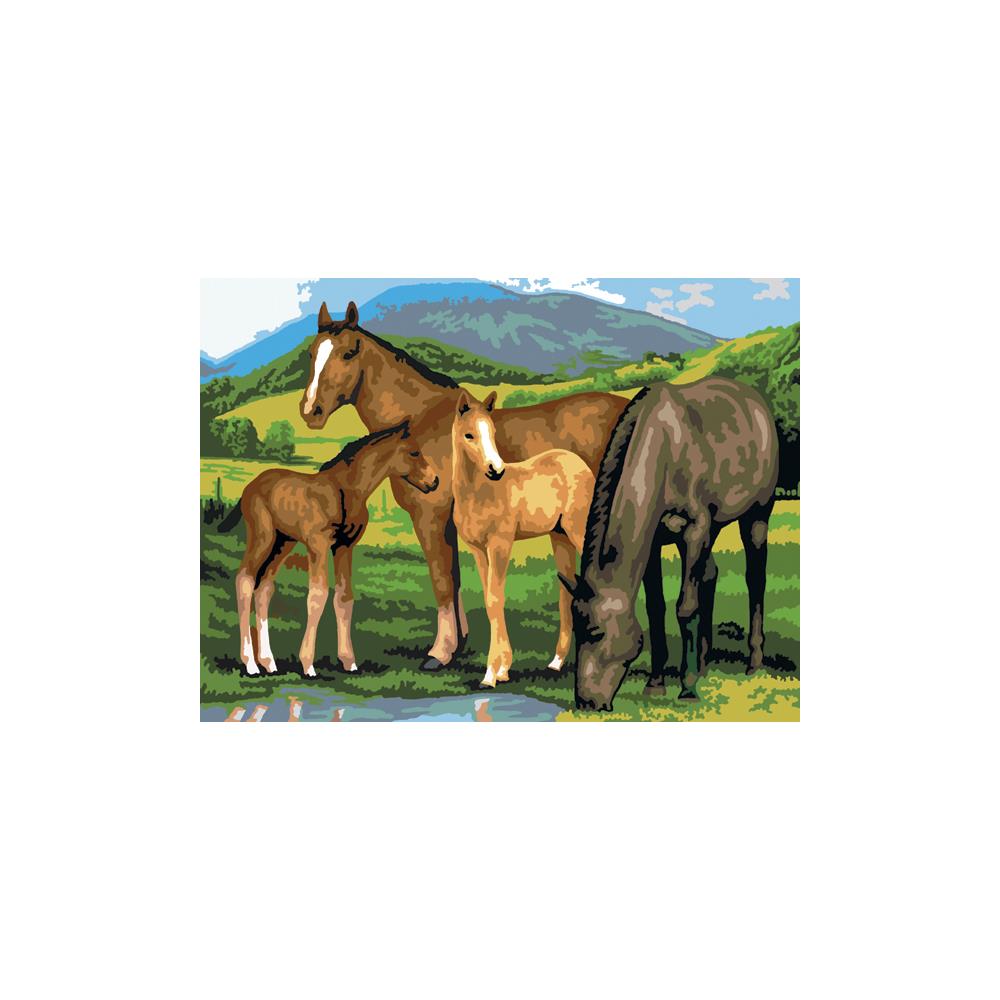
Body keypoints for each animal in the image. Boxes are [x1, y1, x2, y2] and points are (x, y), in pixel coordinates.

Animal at [217, 422, 439, 677]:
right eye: (414, 452)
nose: (435, 481)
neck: (345, 490)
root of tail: (249, 487)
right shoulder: (319, 545)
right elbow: (318, 595)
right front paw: (308, 665)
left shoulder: (345, 547)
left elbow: (344, 597)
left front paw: (349, 662)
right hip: (263, 537)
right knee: (244, 578)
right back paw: (251, 664)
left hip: (283, 542)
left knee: (264, 588)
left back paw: (269, 662)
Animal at [451, 390, 596, 688]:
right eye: (469, 435)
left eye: (492, 431)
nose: (496, 469)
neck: (478, 493)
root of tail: (577, 462)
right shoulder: (477, 549)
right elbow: (489, 600)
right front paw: (503, 669)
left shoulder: (500, 544)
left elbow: (496, 599)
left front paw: (490, 675)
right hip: (560, 536)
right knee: (566, 587)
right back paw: (556, 662)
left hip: (578, 530)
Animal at [564, 379, 779, 710]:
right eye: (575, 629)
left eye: (596, 632)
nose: (586, 703)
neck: (663, 452)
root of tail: (755, 401)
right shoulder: (653, 543)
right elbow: (655, 608)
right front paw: (656, 683)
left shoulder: (694, 531)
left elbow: (685, 607)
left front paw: (687, 688)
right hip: (713, 527)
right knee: (709, 573)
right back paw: (702, 664)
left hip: (757, 515)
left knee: (755, 578)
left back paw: (752, 663)